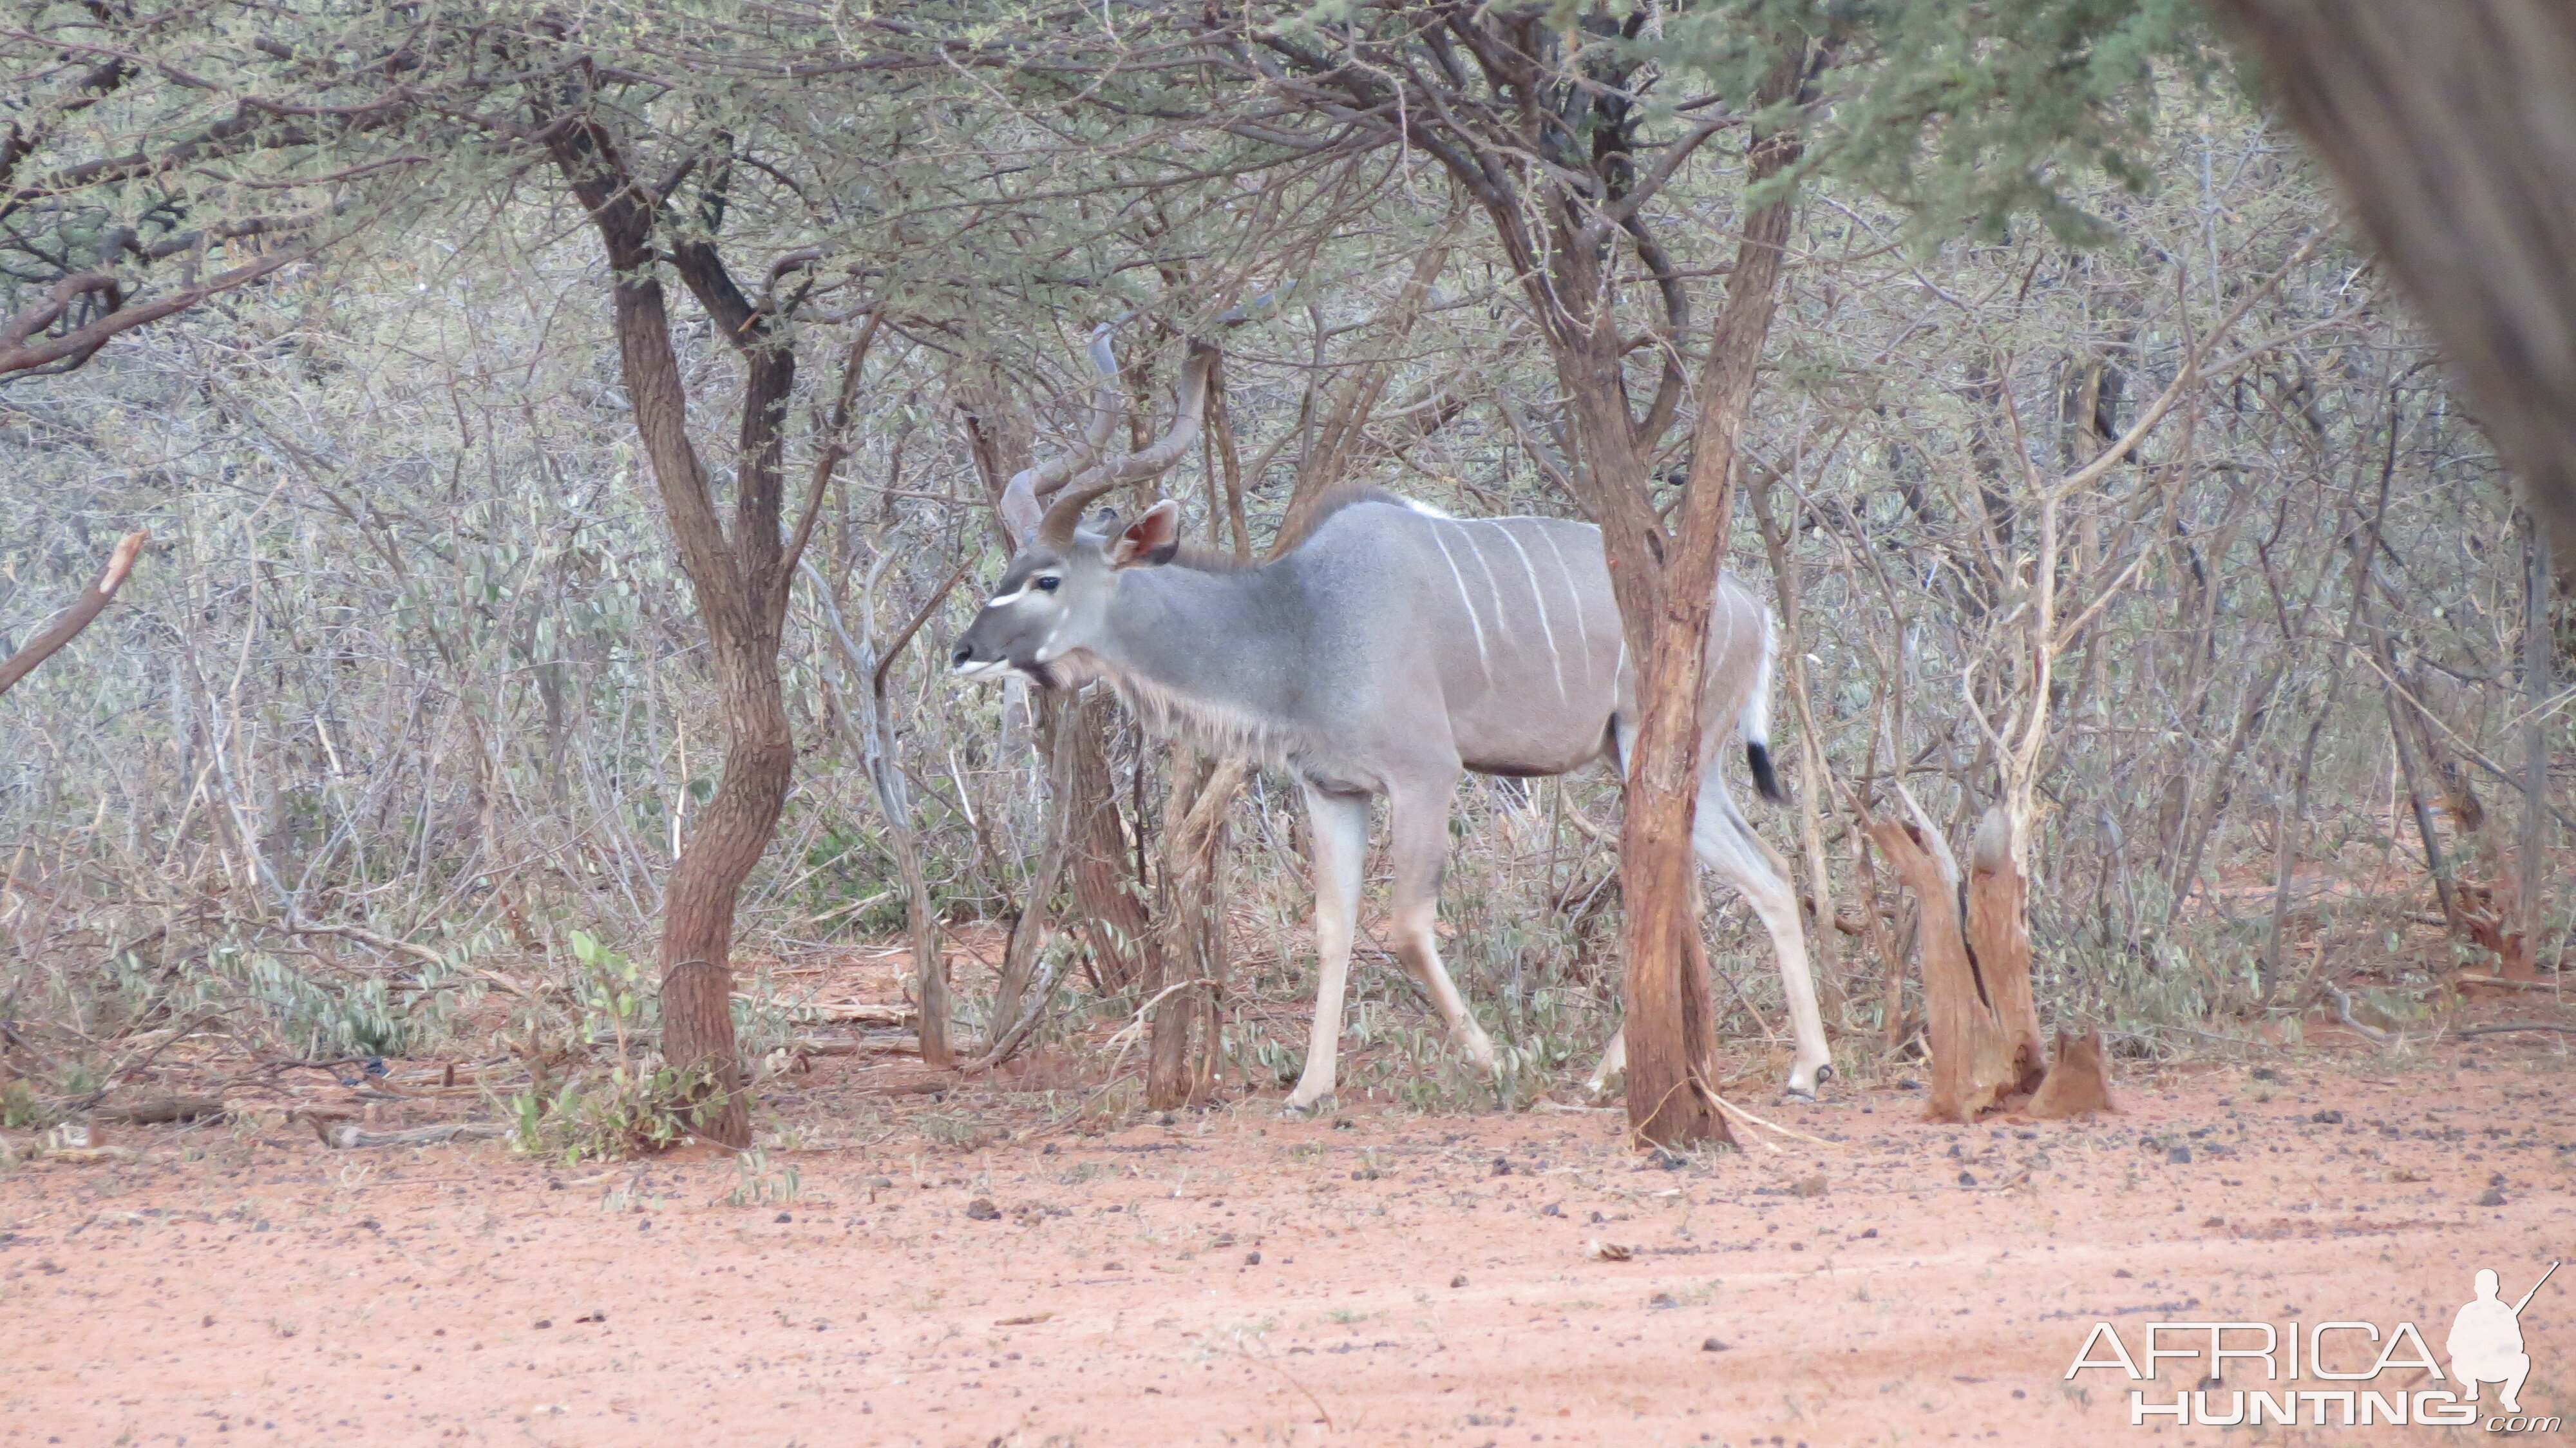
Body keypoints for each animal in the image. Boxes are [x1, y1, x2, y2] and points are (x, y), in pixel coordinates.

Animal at [953, 335, 1834, 1103]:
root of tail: (1751, 606)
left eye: (1046, 579)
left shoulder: (1425, 776)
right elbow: (1334, 926)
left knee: (1717, 883)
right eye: (1010, 566)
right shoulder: (1333, 790)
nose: (964, 651)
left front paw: (1501, 1060)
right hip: (1670, 764)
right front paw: (1310, 1089)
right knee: (1760, 875)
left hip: (1662, 752)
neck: (1301, 622)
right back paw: (1775, 1068)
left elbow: (1406, 924)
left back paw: (1716, 1069)